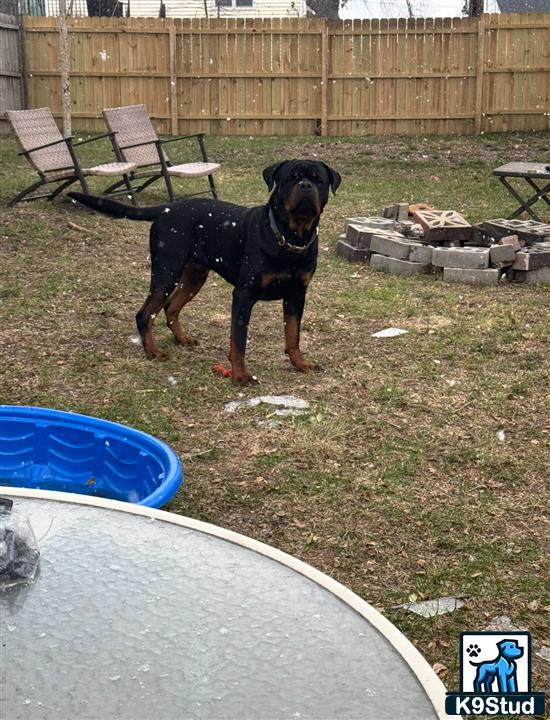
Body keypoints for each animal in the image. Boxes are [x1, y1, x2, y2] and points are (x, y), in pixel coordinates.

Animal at [69, 158, 340, 382]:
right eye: (290, 179)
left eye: (318, 179)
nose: (305, 186)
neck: (289, 237)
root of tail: (166, 208)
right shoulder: (244, 295)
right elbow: (238, 340)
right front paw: (240, 375)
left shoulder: (297, 295)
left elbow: (293, 335)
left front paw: (300, 364)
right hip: (167, 271)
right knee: (145, 313)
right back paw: (153, 351)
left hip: (195, 276)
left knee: (171, 307)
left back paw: (182, 338)